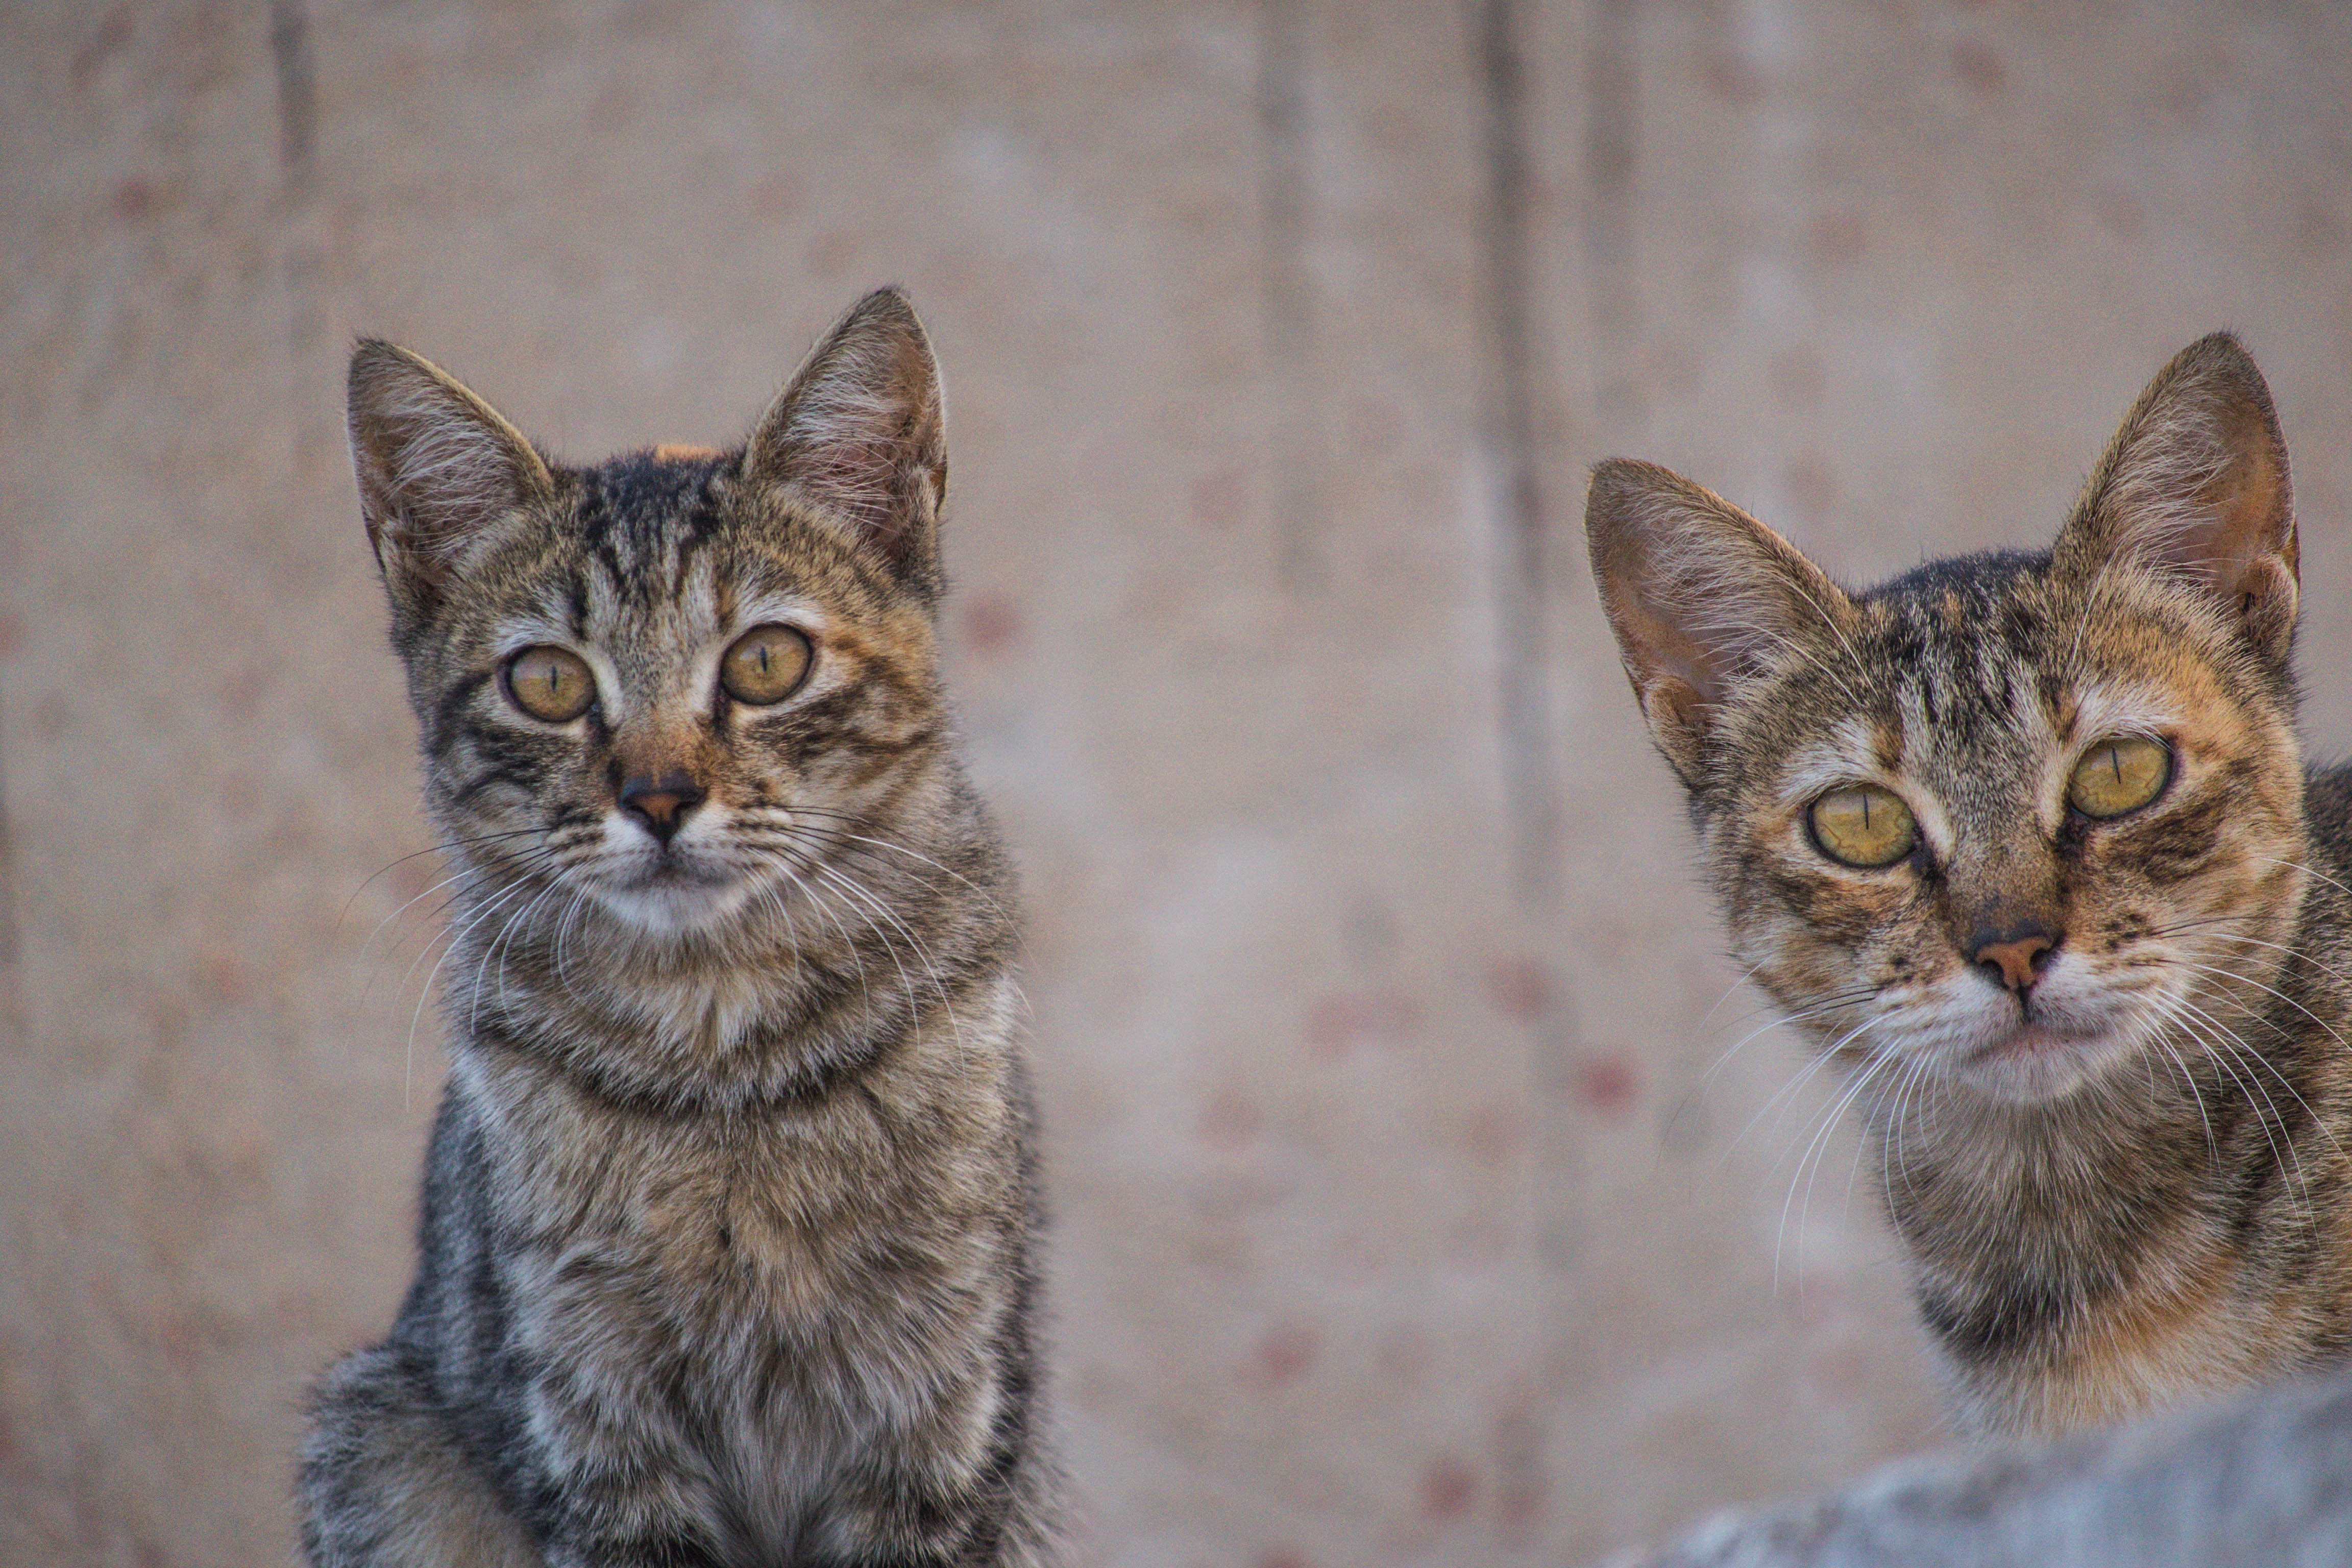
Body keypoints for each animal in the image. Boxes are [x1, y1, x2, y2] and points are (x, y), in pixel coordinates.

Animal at [299, 288, 1063, 1561]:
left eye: (766, 660)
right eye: (549, 682)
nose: (658, 797)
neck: (719, 1059)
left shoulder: (942, 1402)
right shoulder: (586, 1409)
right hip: (369, 1432)